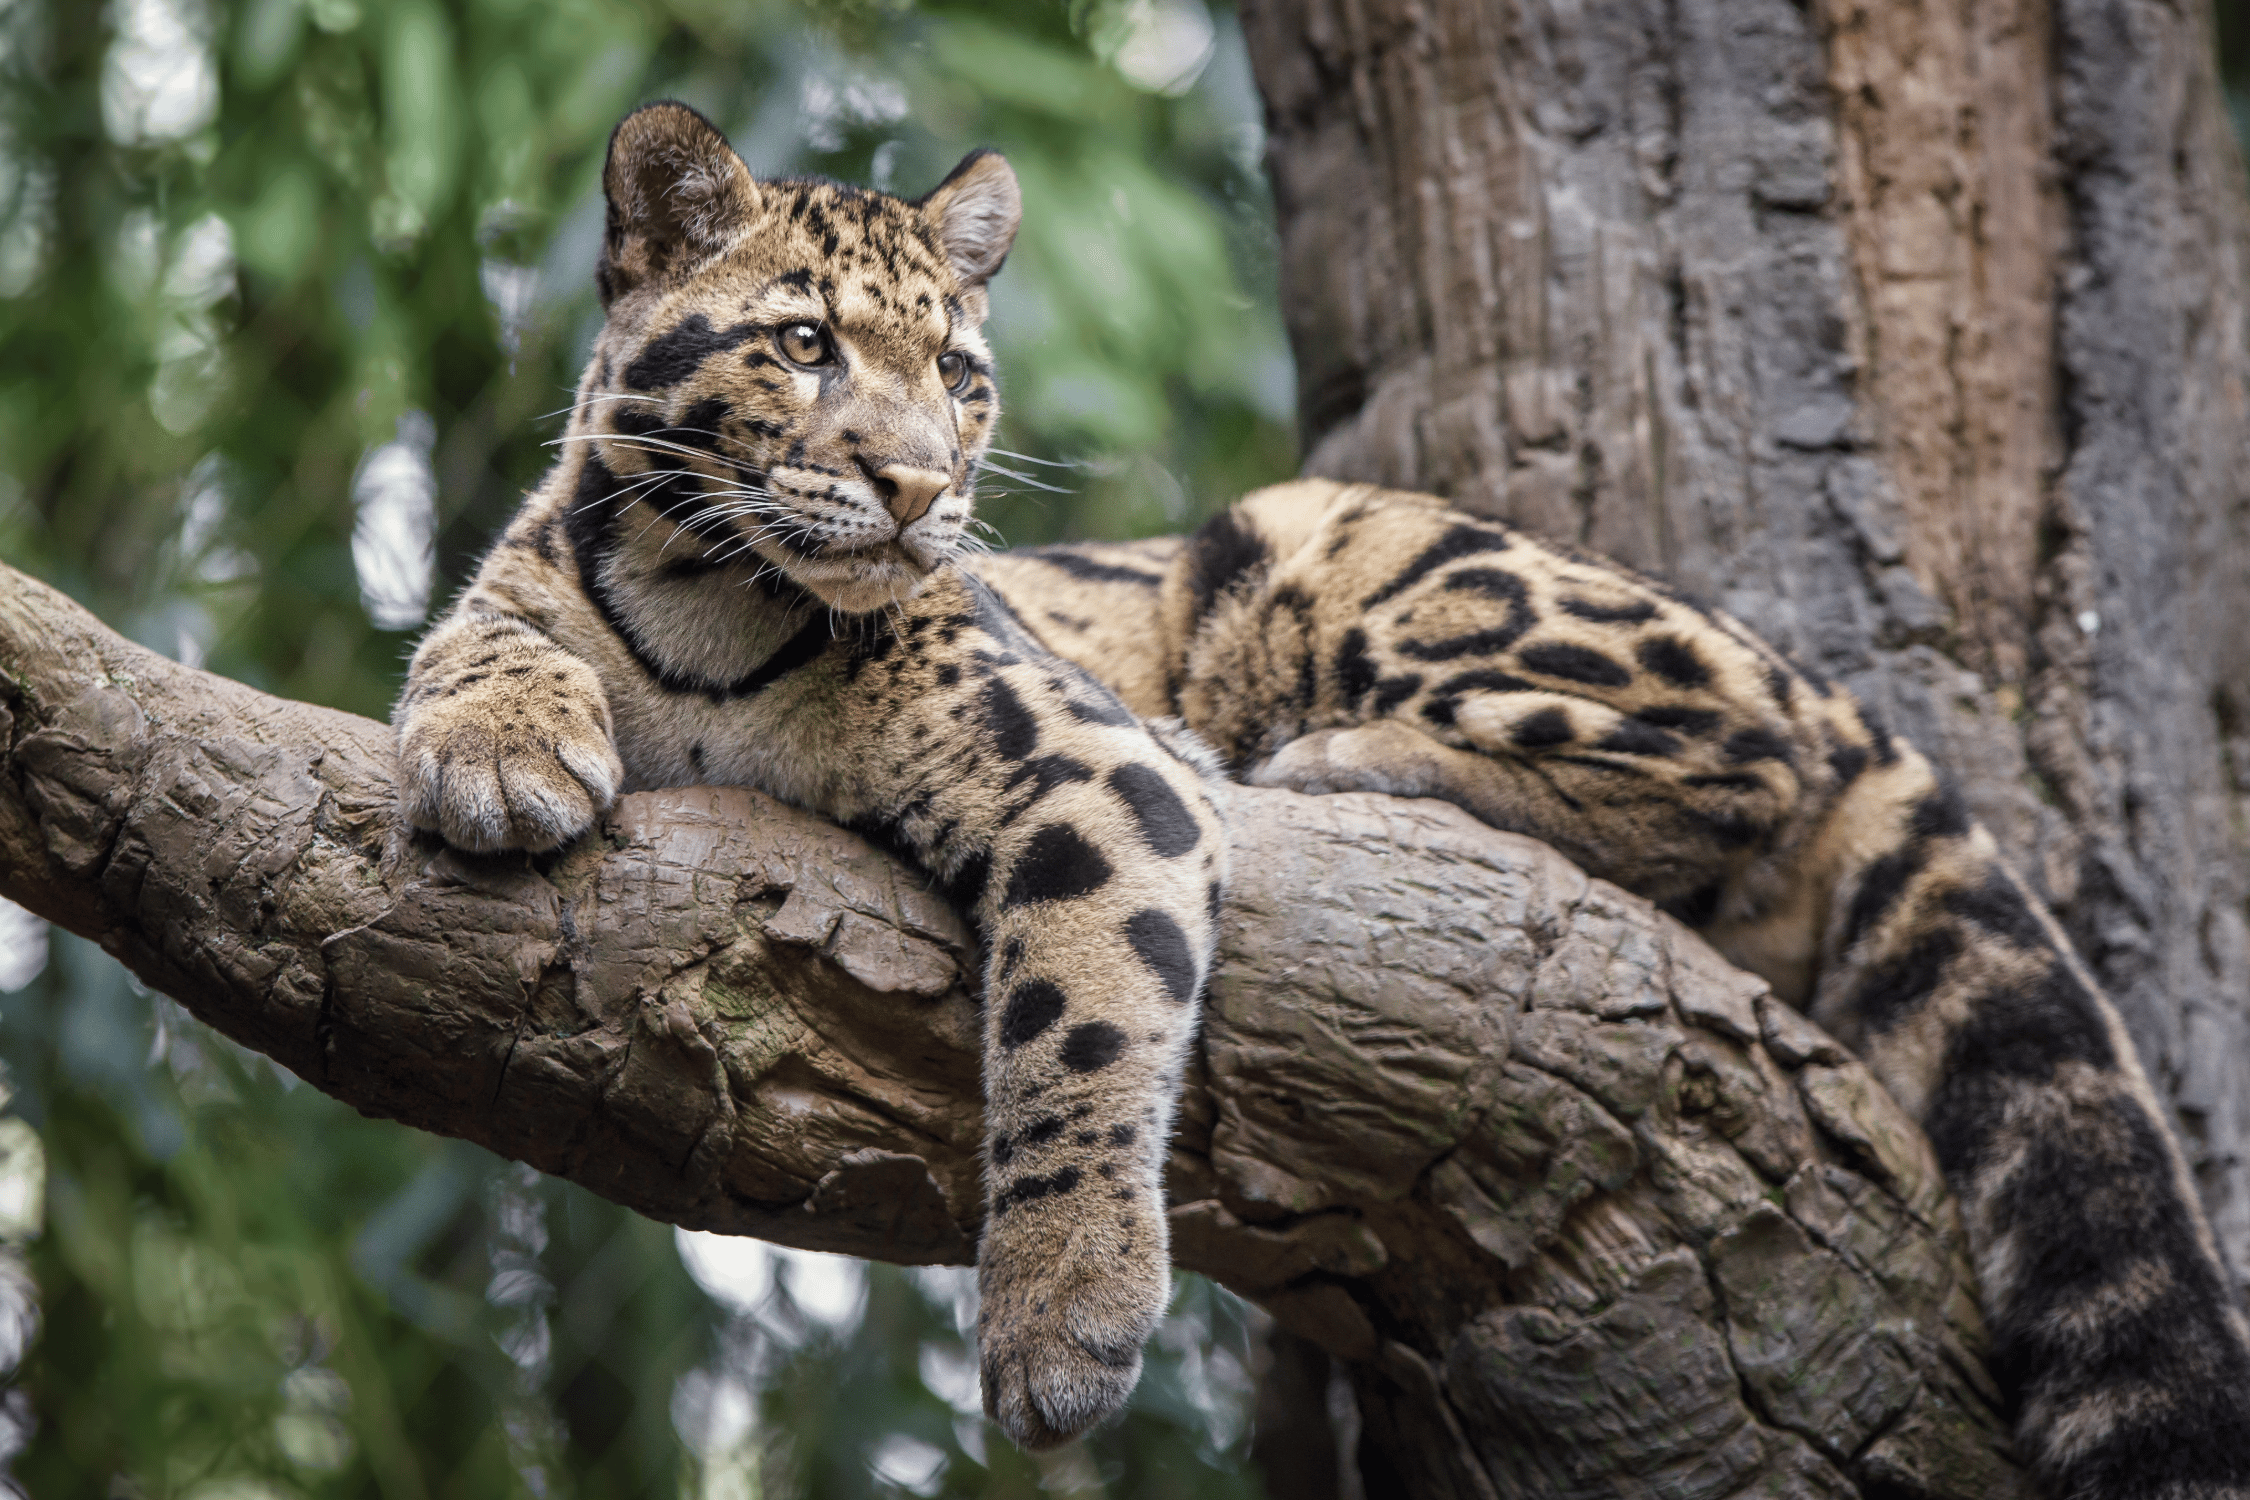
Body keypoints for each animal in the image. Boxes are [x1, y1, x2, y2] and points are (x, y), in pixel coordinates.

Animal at [395, 101, 2250, 1494]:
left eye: (962, 377)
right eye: (802, 343)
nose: (922, 487)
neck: (709, 602)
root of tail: (1824, 679)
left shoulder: (1092, 762)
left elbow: (1079, 1022)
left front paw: (1061, 1319)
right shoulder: (539, 577)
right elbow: (472, 634)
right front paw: (496, 749)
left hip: (1343, 547)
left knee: (1741, 764)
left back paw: (1344, 760)